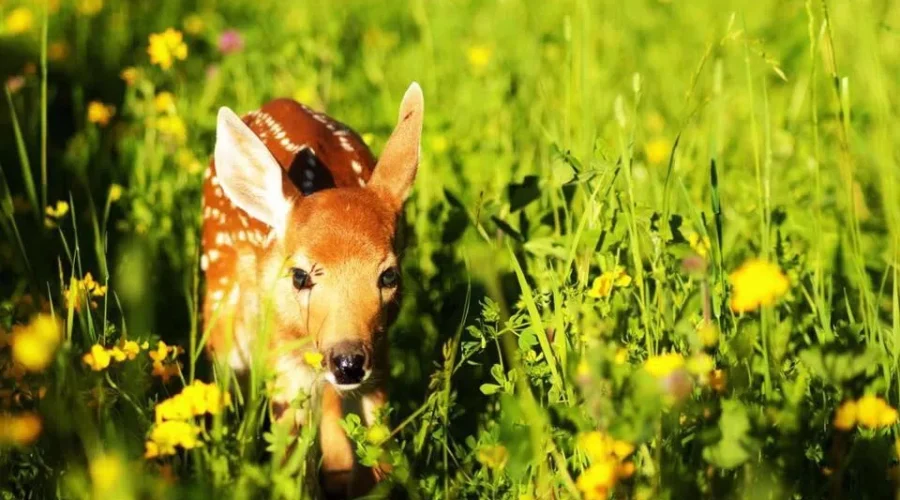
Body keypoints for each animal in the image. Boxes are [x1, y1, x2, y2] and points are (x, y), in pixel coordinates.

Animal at [199, 82, 423, 498]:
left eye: (389, 276)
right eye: (300, 276)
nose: (348, 361)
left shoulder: (379, 357)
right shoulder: (285, 361)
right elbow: (290, 465)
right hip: (222, 307)